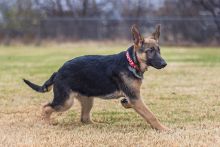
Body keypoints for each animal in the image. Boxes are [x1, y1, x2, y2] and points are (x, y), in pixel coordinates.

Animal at [23, 24, 168, 131]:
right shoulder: (136, 99)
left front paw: (124, 103)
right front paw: (163, 128)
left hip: (87, 100)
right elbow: (151, 115)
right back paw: (46, 123)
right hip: (66, 102)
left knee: (85, 119)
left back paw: (99, 125)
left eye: (159, 50)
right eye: (150, 51)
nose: (164, 64)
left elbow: (134, 106)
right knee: (46, 107)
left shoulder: (133, 98)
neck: (131, 62)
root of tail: (58, 72)